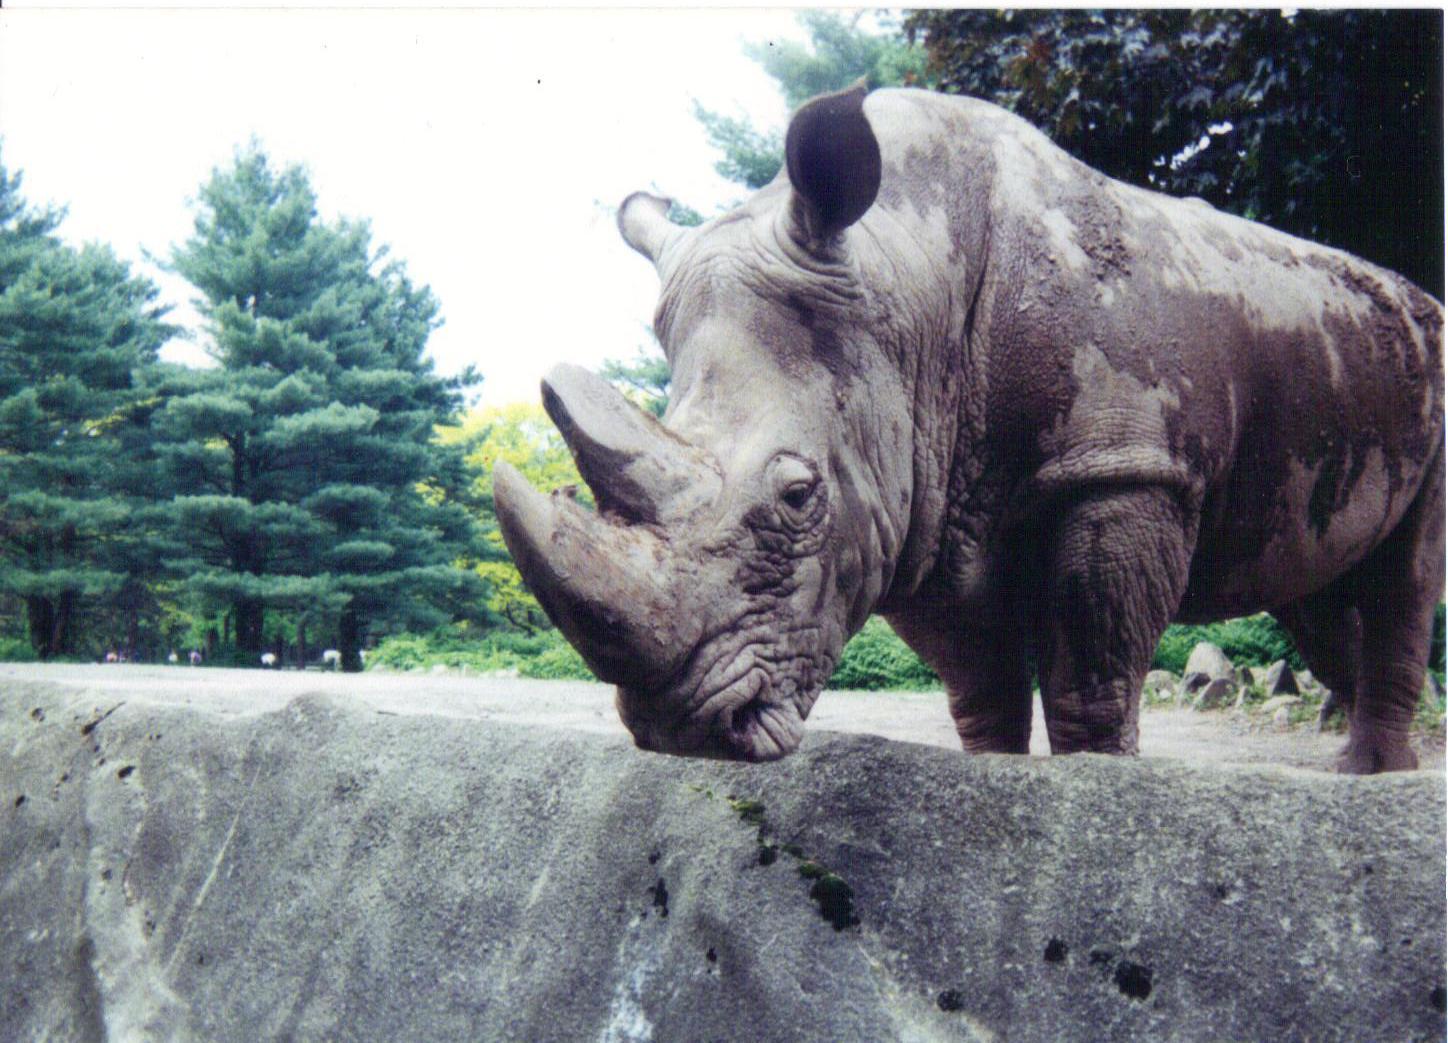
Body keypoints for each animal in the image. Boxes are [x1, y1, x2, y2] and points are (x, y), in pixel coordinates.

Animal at [495, 84, 1444, 773]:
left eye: (798, 496)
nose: (683, 731)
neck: (907, 274)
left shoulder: (1125, 463)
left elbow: (1093, 671)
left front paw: (1100, 786)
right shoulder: (921, 495)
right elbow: (978, 685)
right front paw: (991, 784)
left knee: (1402, 580)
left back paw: (1375, 778)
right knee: (1317, 589)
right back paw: (1358, 766)